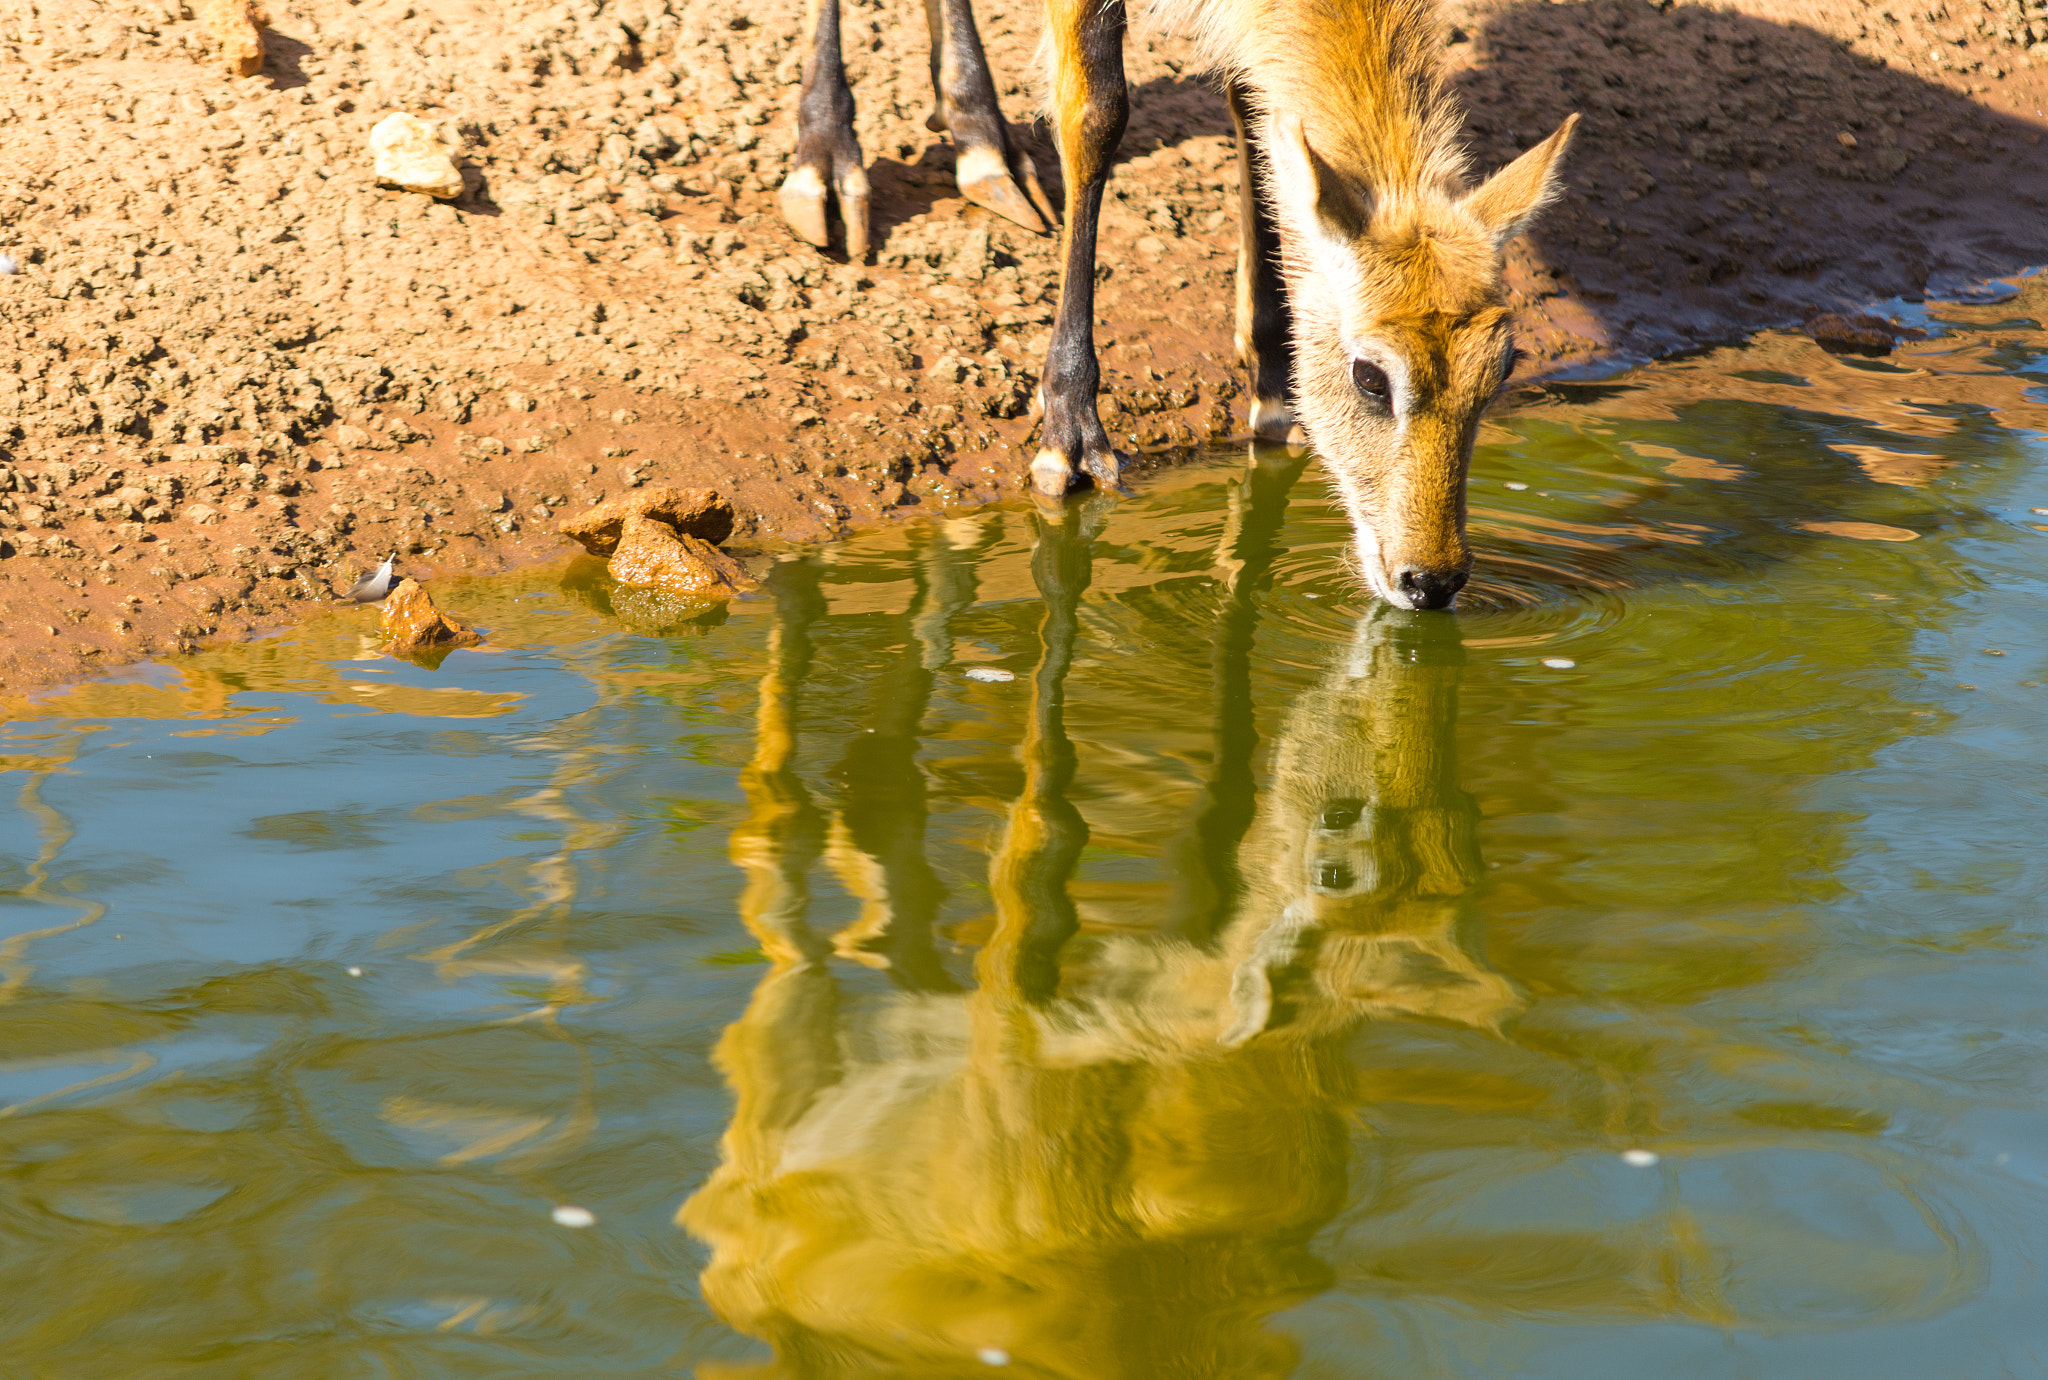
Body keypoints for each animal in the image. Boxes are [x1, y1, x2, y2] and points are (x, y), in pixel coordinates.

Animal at [778, 0, 1564, 606]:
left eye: (1502, 366)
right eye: (1372, 375)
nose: (1430, 580)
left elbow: (1251, 101)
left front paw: (1273, 383)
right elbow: (1096, 112)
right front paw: (1070, 438)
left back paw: (983, 145)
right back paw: (827, 168)